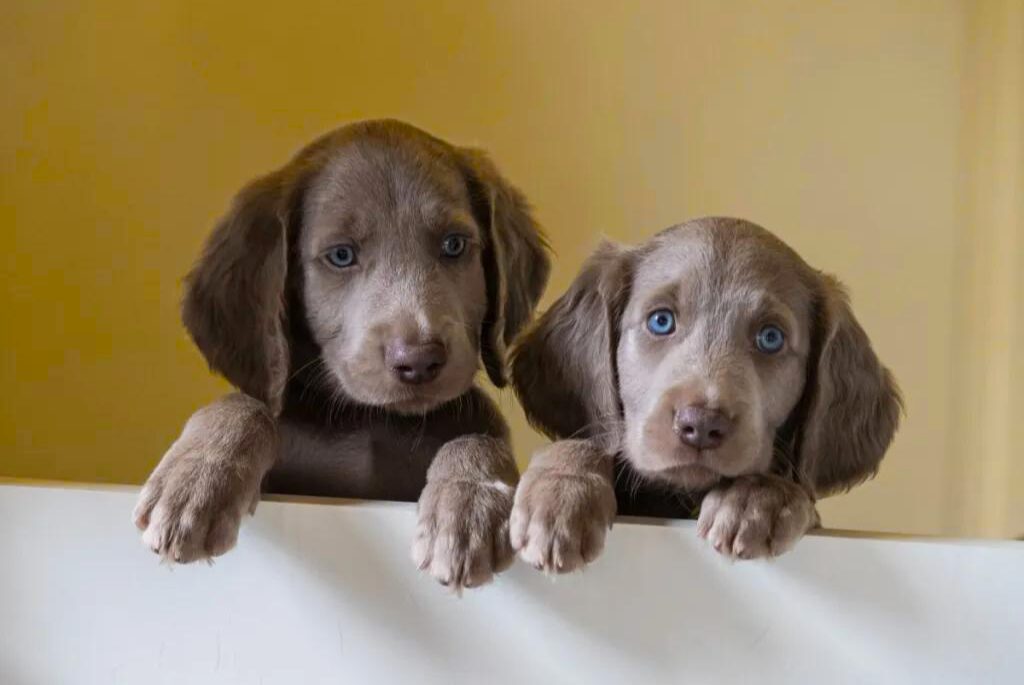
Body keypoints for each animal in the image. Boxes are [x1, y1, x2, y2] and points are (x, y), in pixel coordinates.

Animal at [137, 118, 557, 589]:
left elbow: (480, 437)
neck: (369, 421)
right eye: (341, 255)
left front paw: (466, 504)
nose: (419, 360)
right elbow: (243, 404)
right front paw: (196, 478)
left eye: (454, 245)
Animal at [507, 216, 901, 569]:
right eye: (660, 320)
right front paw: (561, 492)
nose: (701, 424)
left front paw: (758, 496)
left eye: (770, 337)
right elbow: (583, 440)